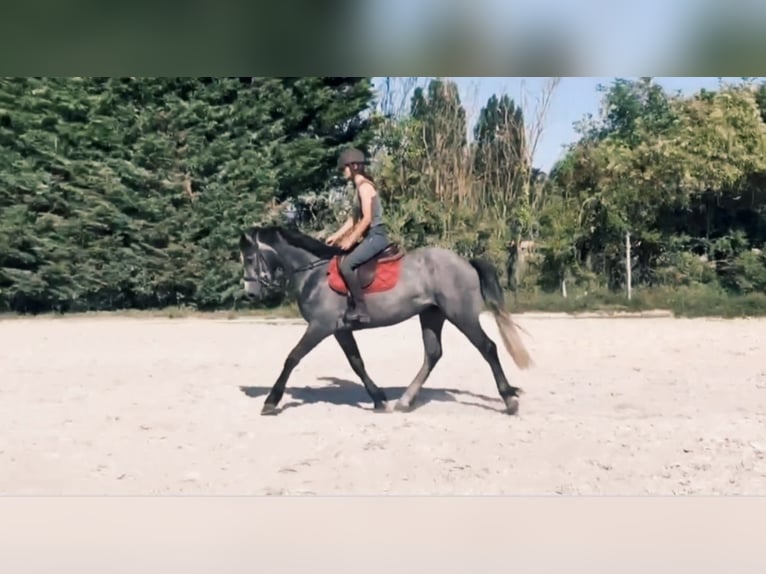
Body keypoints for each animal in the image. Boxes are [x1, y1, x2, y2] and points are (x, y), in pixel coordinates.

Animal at [239, 224, 533, 416]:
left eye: (250, 257)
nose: (250, 293)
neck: (314, 273)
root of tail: (466, 262)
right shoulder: (339, 330)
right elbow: (356, 362)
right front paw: (379, 399)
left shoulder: (320, 326)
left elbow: (292, 357)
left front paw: (271, 401)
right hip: (431, 314)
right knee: (433, 354)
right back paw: (405, 401)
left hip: (461, 315)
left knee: (487, 348)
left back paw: (509, 400)